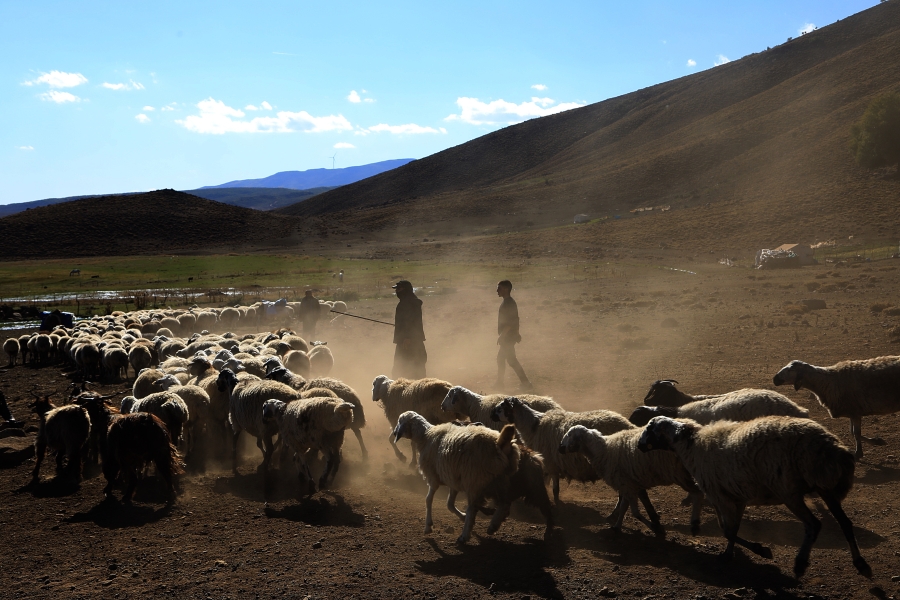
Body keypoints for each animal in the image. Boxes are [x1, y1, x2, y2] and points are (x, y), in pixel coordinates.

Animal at [392, 412, 520, 544]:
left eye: (400, 421)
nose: (395, 433)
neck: (426, 436)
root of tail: (498, 444)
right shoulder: (453, 479)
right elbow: (449, 504)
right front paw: (462, 516)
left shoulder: (433, 478)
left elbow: (428, 499)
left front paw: (428, 526)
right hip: (502, 480)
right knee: (505, 503)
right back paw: (493, 525)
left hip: (474, 481)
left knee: (473, 508)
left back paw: (464, 535)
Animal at [492, 398, 632, 502]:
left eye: (500, 408)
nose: (491, 415)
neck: (534, 426)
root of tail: (629, 425)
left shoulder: (550, 463)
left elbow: (553, 489)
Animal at [556, 424, 704, 532]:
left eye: (569, 435)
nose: (560, 448)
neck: (603, 450)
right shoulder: (627, 485)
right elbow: (623, 508)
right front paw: (617, 525)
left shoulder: (627, 486)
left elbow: (634, 512)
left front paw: (654, 526)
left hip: (683, 475)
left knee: (698, 493)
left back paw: (695, 521)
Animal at [640, 414, 872, 580]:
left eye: (649, 429)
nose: (640, 446)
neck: (691, 444)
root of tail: (832, 447)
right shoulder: (736, 497)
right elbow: (731, 530)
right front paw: (732, 553)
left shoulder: (719, 496)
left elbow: (728, 531)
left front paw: (761, 551)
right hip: (824, 488)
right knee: (845, 523)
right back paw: (861, 563)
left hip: (790, 491)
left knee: (814, 524)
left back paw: (800, 563)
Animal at [768, 356, 900, 460]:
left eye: (791, 369)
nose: (775, 379)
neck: (828, 381)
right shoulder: (852, 412)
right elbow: (852, 432)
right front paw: (875, 442)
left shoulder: (855, 411)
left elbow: (856, 433)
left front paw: (860, 452)